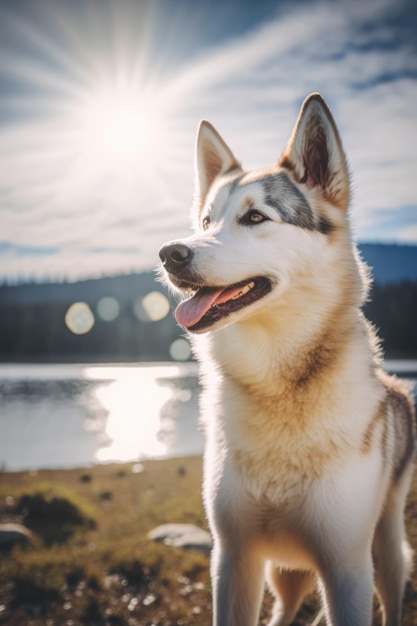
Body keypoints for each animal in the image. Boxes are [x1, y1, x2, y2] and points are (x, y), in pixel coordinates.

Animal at [158, 94, 412, 624]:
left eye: (256, 218)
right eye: (207, 222)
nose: (170, 253)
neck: (278, 385)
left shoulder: (346, 568)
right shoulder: (233, 558)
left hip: (386, 551)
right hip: (283, 572)